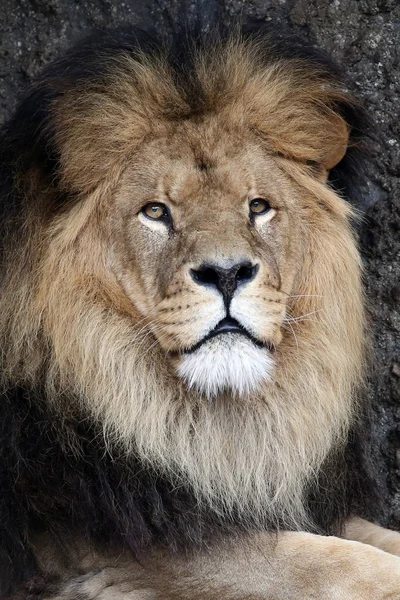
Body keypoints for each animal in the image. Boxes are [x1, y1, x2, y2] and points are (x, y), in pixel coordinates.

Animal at [0, 18, 400, 600]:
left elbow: (371, 538)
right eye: (155, 212)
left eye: (258, 207)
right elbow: (329, 562)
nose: (227, 273)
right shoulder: (114, 549)